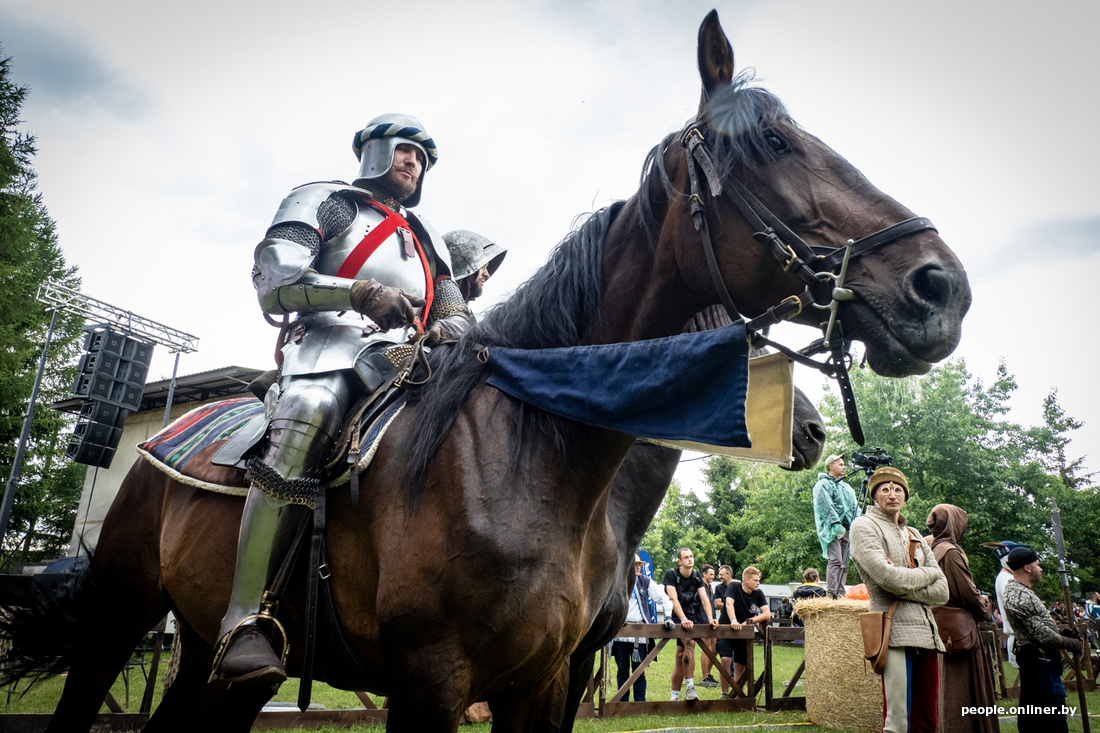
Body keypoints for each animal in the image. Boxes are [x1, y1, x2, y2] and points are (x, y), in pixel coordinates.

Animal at [8, 9, 972, 730]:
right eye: (772, 142)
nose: (940, 287)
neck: (536, 451)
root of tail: (168, 429)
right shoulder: (432, 684)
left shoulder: (543, 683)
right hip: (119, 617)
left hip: (217, 662)